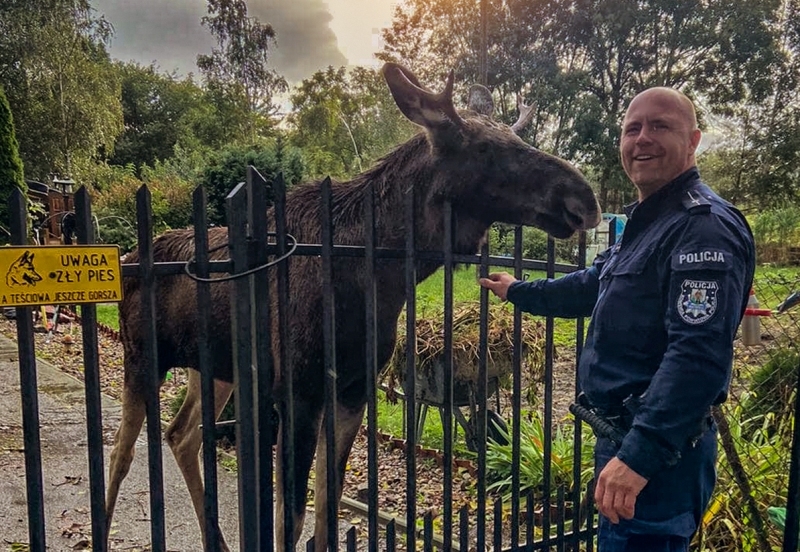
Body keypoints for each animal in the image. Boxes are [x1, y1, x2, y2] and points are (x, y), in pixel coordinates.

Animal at [106, 61, 596, 552]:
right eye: (486, 148)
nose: (584, 199)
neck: (381, 277)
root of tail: (128, 258)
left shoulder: (353, 389)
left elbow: (327, 506)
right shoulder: (299, 391)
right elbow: (290, 516)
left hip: (212, 369)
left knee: (180, 434)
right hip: (142, 358)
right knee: (120, 452)